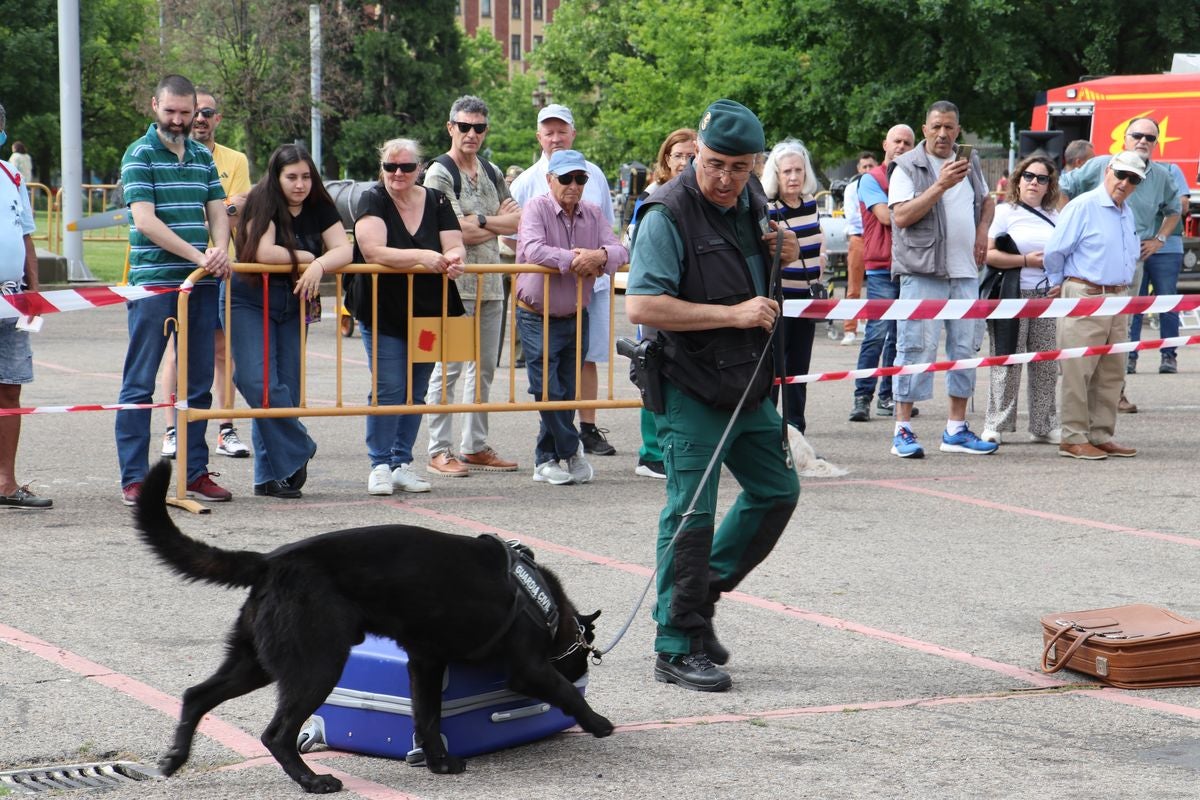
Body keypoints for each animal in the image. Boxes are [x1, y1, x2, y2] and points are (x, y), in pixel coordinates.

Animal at [136, 462, 614, 796]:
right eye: (582, 656)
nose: (584, 670)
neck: (549, 606)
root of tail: (272, 561)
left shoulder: (425, 663)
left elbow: (427, 717)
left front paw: (439, 762)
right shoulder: (527, 667)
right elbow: (565, 692)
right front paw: (597, 721)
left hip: (255, 661)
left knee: (196, 695)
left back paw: (175, 758)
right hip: (317, 665)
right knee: (277, 733)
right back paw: (313, 782)